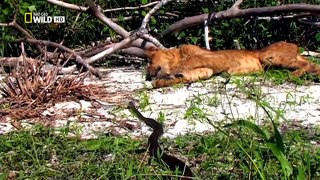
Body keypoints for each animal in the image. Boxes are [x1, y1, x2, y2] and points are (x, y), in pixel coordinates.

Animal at [146, 41, 320, 88]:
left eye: (150, 60)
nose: (147, 75)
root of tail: (295, 46)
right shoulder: (207, 70)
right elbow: (188, 75)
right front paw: (161, 81)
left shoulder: (216, 58)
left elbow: (190, 61)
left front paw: (171, 72)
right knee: (313, 65)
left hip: (267, 57)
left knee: (309, 66)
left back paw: (294, 75)